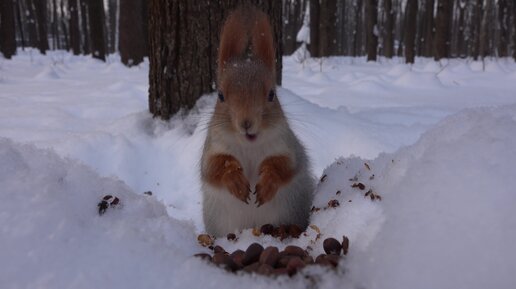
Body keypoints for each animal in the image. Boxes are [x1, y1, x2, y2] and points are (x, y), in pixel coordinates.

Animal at [202, 6, 314, 236]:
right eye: (220, 95)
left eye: (272, 94)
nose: (246, 123)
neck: (249, 147)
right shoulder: (212, 148)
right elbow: (213, 168)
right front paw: (235, 180)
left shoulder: (288, 146)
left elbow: (286, 166)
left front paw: (268, 183)